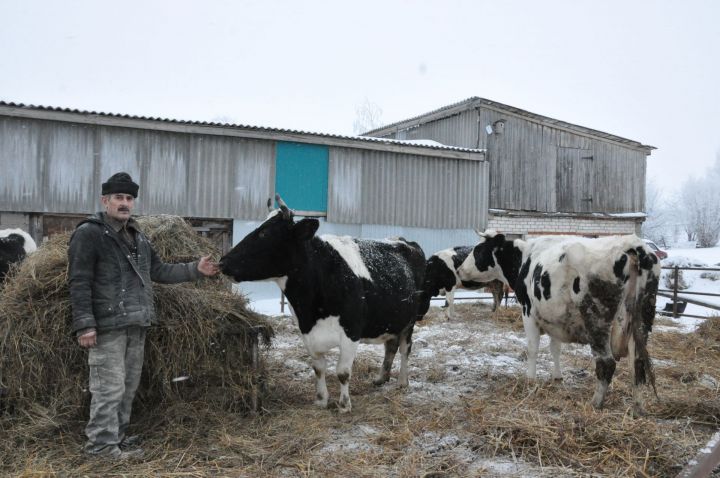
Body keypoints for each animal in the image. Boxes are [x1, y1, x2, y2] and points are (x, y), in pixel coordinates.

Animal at [217, 196, 424, 412]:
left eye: (265, 233)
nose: (222, 262)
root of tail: (402, 240)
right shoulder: (306, 333)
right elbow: (318, 368)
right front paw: (321, 399)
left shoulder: (351, 332)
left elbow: (342, 372)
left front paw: (344, 405)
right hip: (392, 319)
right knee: (390, 345)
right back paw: (381, 378)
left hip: (411, 319)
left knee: (405, 348)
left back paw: (402, 381)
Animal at [458, 230, 660, 412]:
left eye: (478, 251)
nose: (459, 270)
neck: (525, 259)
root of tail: (632, 245)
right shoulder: (556, 320)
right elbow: (555, 349)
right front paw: (557, 377)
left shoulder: (528, 313)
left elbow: (532, 349)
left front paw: (530, 380)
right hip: (641, 321)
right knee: (638, 364)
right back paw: (638, 407)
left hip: (596, 320)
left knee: (607, 363)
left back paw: (595, 403)